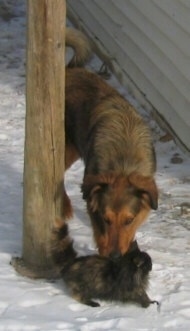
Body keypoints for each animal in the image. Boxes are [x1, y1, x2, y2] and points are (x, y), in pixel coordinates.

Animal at [64, 28, 158, 258]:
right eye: (106, 219)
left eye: (128, 220)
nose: (115, 256)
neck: (124, 161)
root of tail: (72, 69)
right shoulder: (92, 200)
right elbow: (99, 232)